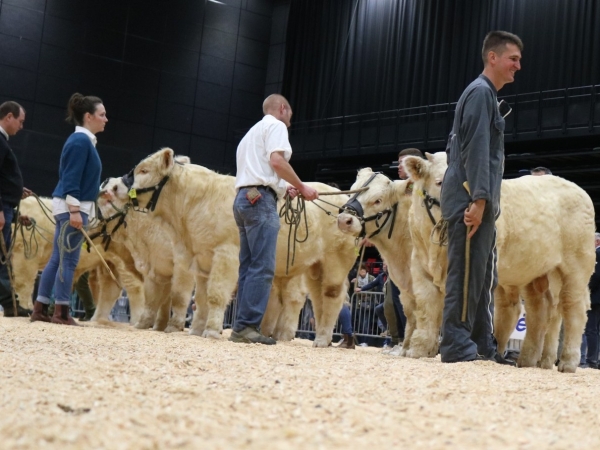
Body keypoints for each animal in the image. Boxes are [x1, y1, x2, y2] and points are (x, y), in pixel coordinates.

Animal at [131, 147, 356, 344]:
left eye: (144, 171)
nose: (128, 190)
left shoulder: (226, 253)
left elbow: (215, 294)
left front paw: (211, 331)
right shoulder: (202, 259)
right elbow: (201, 298)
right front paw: (196, 330)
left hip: (336, 261)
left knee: (332, 297)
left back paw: (320, 339)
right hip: (310, 268)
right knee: (314, 299)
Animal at [404, 152, 596, 372]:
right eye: (438, 182)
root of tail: (577, 188)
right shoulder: (419, 266)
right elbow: (426, 309)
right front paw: (418, 349)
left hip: (576, 266)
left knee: (573, 308)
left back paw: (567, 362)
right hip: (535, 272)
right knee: (539, 310)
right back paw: (530, 359)